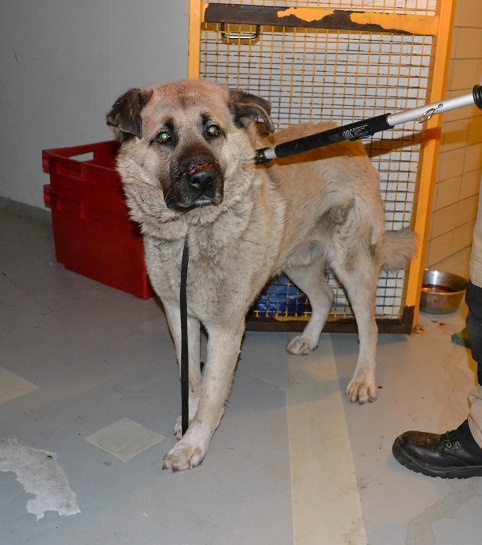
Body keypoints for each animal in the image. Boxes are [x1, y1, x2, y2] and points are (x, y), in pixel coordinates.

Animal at [107, 79, 416, 471]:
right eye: (164, 137)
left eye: (213, 131)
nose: (203, 179)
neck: (192, 232)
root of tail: (352, 141)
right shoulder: (180, 317)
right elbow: (191, 378)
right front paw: (189, 418)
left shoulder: (226, 328)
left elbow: (212, 389)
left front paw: (194, 442)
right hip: (298, 264)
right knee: (325, 297)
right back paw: (309, 340)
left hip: (353, 267)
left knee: (369, 327)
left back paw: (363, 380)